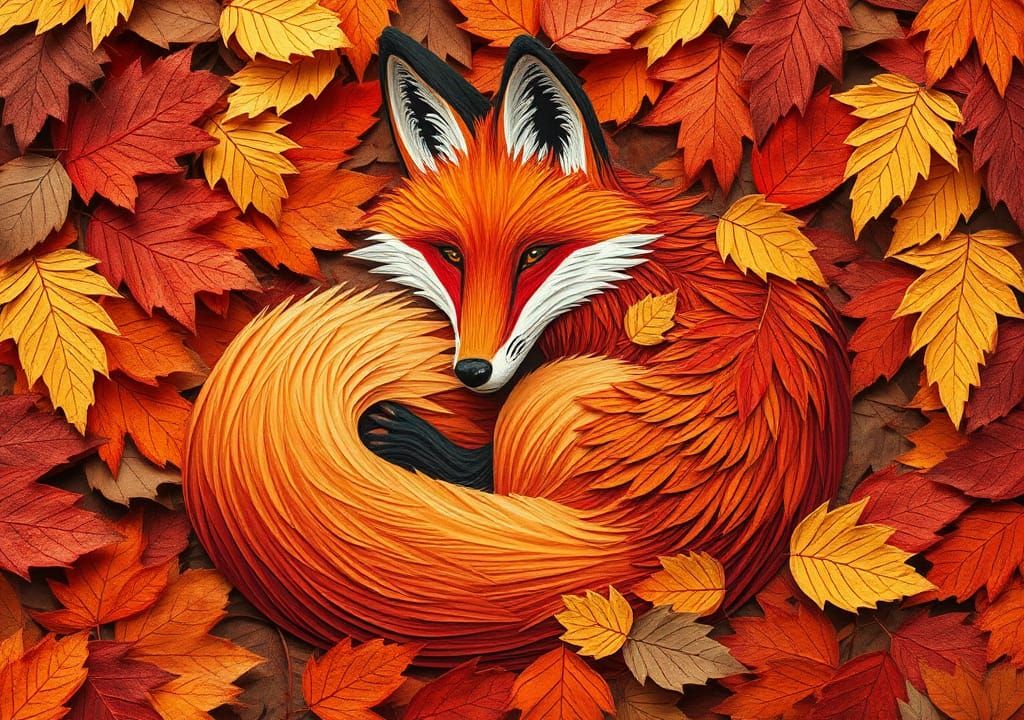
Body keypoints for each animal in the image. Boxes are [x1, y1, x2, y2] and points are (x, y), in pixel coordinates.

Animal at [183, 29, 851, 667]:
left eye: (533, 255)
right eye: (450, 255)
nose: (472, 372)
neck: (636, 281)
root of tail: (656, 538)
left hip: (545, 395)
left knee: (489, 475)